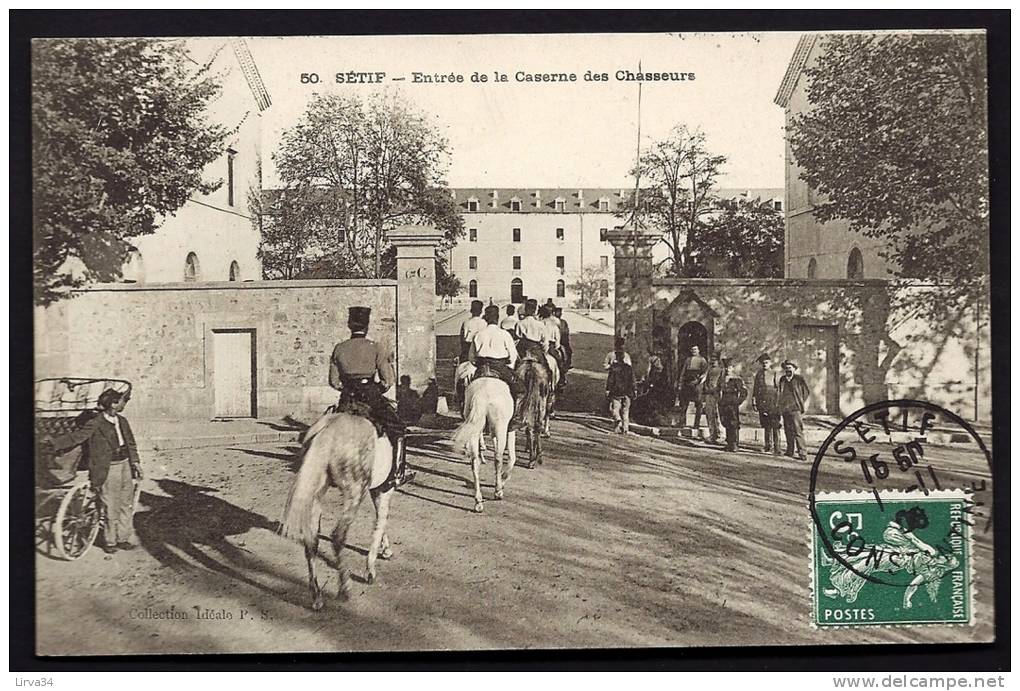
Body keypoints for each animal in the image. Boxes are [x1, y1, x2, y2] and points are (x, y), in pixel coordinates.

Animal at [281, 412, 395, 608]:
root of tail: (328, 430)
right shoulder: (384, 489)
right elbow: (380, 523)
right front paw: (370, 570)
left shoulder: (377, 490)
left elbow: (381, 522)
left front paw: (385, 549)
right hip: (355, 492)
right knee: (337, 536)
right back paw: (344, 589)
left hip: (317, 492)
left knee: (311, 541)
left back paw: (317, 596)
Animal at [452, 375, 518, 510]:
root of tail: (482, 393)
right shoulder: (510, 429)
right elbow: (512, 458)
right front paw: (503, 480)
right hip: (500, 427)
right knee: (498, 458)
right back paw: (498, 491)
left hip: (474, 427)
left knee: (474, 462)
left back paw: (478, 501)